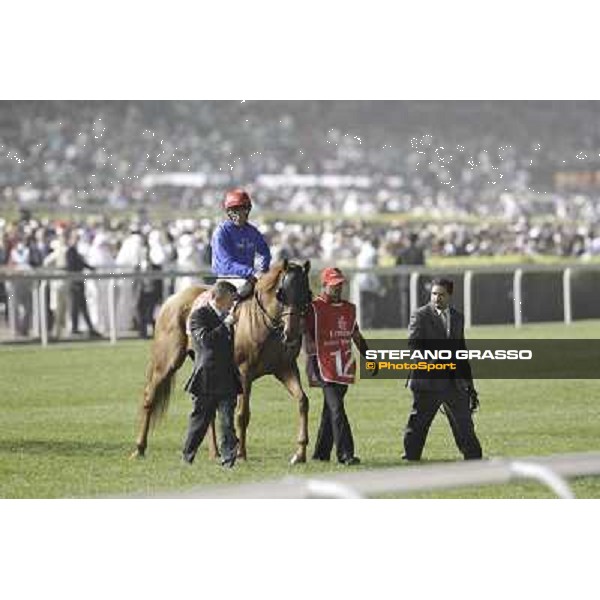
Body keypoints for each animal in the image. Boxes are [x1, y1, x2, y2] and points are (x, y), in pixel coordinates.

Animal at [129, 258, 312, 464]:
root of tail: (171, 300)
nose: (292, 333)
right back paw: (139, 448)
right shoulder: (244, 373)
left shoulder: (286, 369)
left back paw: (214, 452)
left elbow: (303, 401)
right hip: (167, 362)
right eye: (282, 294)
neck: (265, 323)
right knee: (149, 396)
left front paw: (300, 453)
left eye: (306, 294)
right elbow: (242, 414)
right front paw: (241, 454)